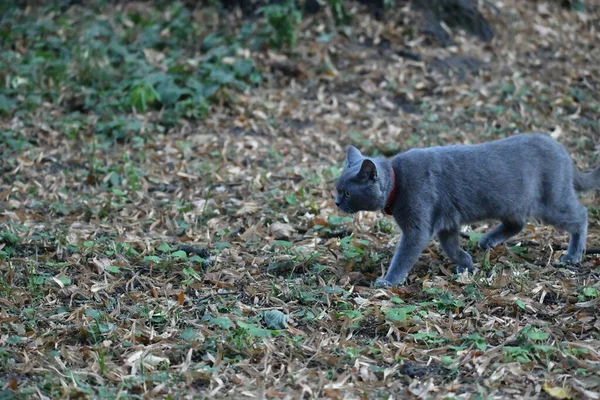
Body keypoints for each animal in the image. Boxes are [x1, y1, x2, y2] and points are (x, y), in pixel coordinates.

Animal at [336, 134, 596, 288]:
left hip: (551, 200)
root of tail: (563, 151)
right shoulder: (446, 224)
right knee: (517, 223)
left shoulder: (417, 227)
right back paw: (487, 241)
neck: (397, 183)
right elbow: (451, 247)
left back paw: (573, 254)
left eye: (347, 193)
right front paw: (466, 265)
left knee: (581, 216)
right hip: (511, 203)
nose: (337, 202)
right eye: (337, 189)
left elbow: (404, 256)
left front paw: (388, 281)